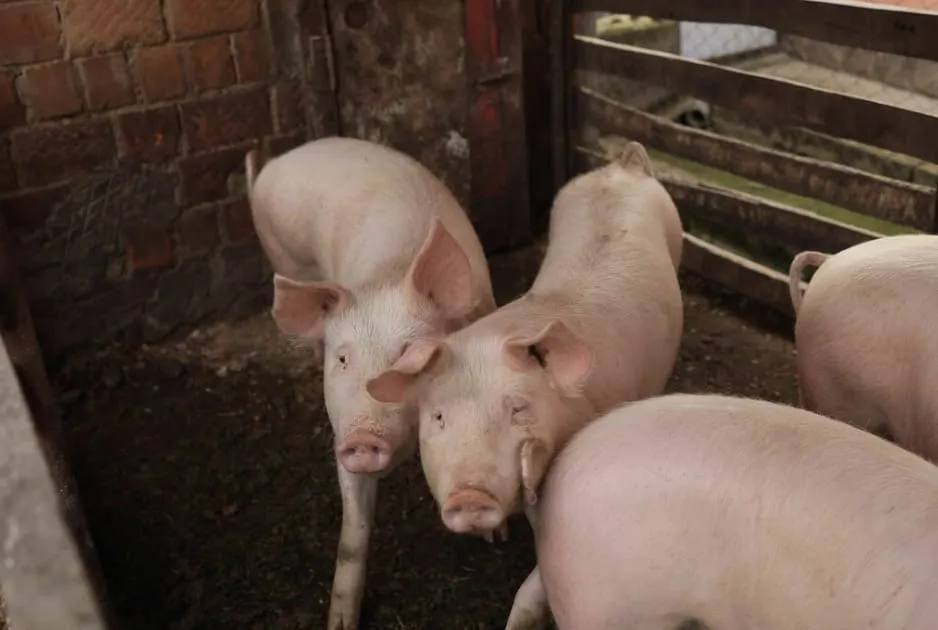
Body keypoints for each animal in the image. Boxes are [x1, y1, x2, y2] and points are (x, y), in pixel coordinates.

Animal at [245, 136, 497, 630]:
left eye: (411, 354)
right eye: (344, 359)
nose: (364, 436)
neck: (388, 273)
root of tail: (276, 161)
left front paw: (494, 539)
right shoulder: (338, 428)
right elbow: (353, 529)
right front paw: (339, 622)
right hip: (285, 254)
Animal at [366, 141, 684, 629]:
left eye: (517, 409)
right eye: (438, 416)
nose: (470, 495)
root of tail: (621, 166)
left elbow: (536, 587)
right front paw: (495, 538)